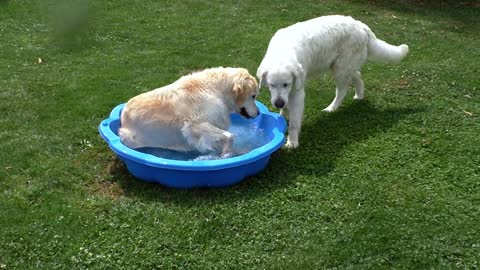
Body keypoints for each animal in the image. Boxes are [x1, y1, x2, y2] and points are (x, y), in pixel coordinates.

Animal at [119, 67, 258, 155]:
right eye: (253, 96)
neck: (214, 89)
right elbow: (230, 136)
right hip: (129, 136)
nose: (258, 113)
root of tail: (123, 116)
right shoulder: (193, 126)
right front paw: (225, 154)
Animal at [256, 14, 410, 148]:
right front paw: (282, 117)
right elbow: (285, 109)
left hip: (340, 68)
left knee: (342, 91)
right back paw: (359, 96)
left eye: (286, 84)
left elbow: (294, 122)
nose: (278, 103)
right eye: (271, 85)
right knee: (358, 77)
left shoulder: (296, 91)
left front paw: (292, 142)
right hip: (344, 66)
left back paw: (331, 108)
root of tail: (361, 26)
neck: (282, 53)